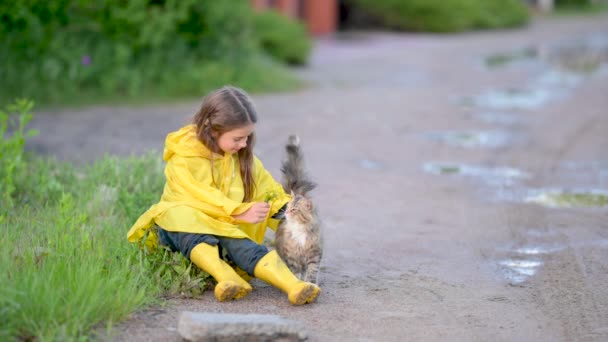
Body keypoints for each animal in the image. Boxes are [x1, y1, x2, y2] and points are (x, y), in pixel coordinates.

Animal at [274, 135, 324, 284]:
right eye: (288, 207)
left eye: (294, 210)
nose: (286, 212)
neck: (299, 228)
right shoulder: (292, 257)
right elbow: (295, 273)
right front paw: (298, 284)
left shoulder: (314, 254)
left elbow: (312, 272)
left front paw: (310, 285)